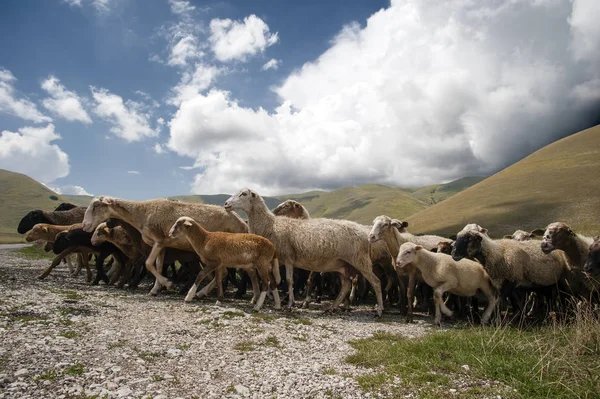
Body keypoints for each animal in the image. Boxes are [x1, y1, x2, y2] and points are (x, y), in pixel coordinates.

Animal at [81, 197, 247, 296]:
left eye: (96, 205)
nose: (84, 226)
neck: (142, 213)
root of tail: (242, 223)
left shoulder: (158, 240)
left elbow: (148, 264)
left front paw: (169, 284)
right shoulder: (163, 244)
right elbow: (159, 266)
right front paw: (156, 289)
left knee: (224, 272)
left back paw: (201, 292)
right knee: (223, 272)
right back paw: (202, 292)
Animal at [225, 189, 384, 318]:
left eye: (243, 194)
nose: (226, 204)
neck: (271, 224)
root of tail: (364, 233)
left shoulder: (288, 257)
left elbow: (289, 281)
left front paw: (290, 304)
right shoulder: (276, 260)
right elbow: (275, 281)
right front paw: (277, 302)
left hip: (360, 260)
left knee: (376, 282)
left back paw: (379, 310)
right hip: (343, 265)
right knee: (345, 286)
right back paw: (331, 308)